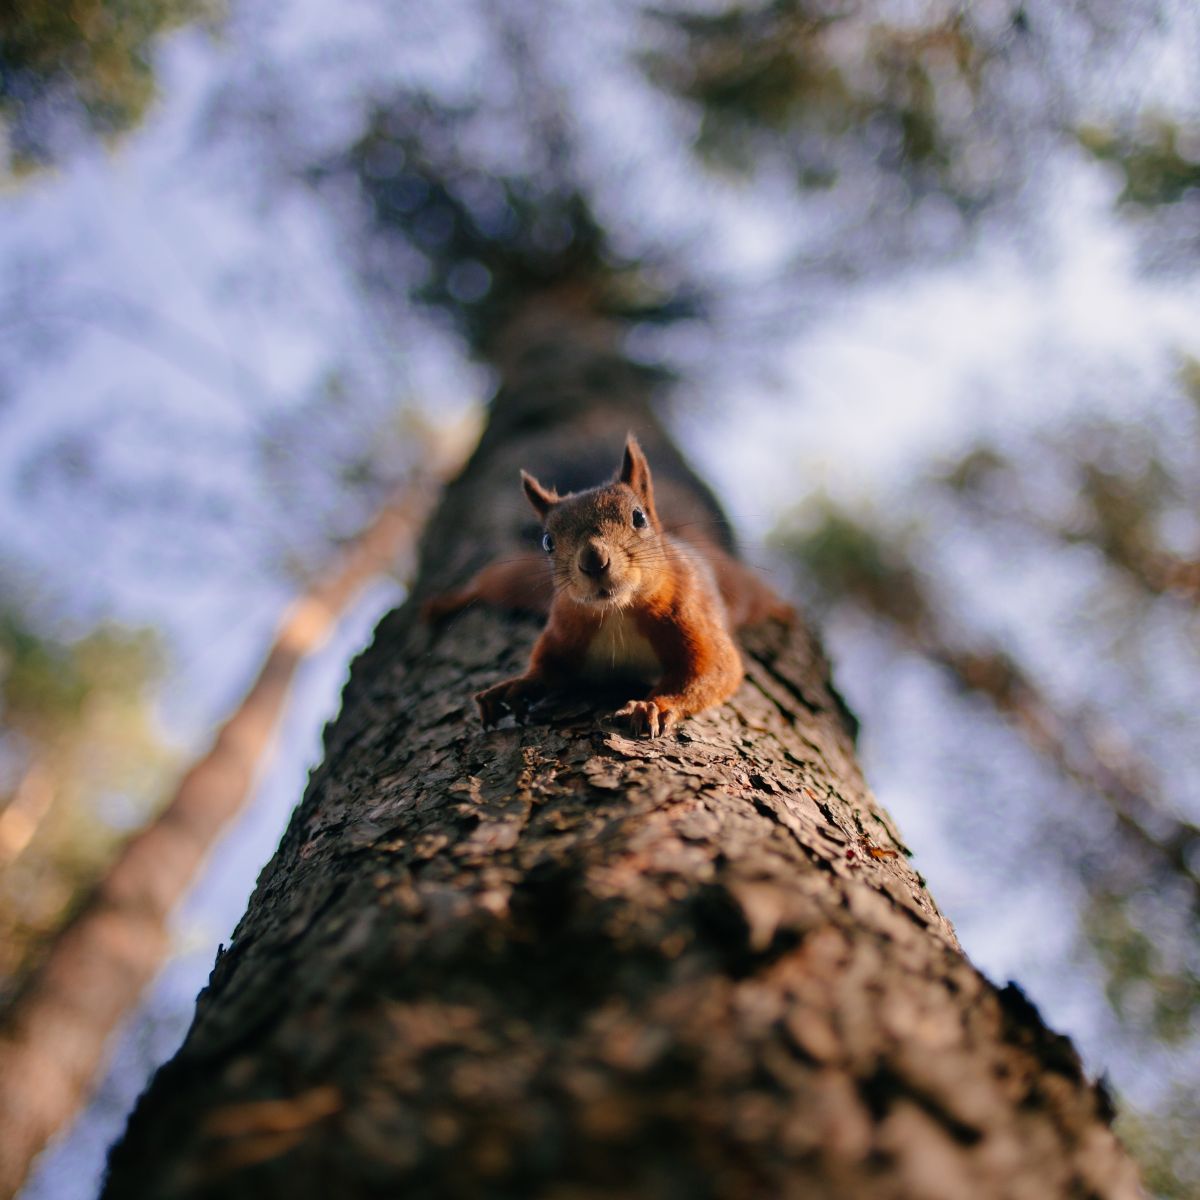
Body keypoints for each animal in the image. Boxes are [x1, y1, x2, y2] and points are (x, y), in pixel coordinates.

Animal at [422, 436, 796, 734]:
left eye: (638, 517)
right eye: (547, 541)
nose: (593, 560)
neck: (617, 613)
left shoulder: (692, 615)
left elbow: (711, 669)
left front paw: (653, 705)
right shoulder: (566, 629)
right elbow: (547, 669)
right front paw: (516, 686)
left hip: (742, 589)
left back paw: (783, 610)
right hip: (518, 580)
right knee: (487, 586)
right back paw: (444, 603)